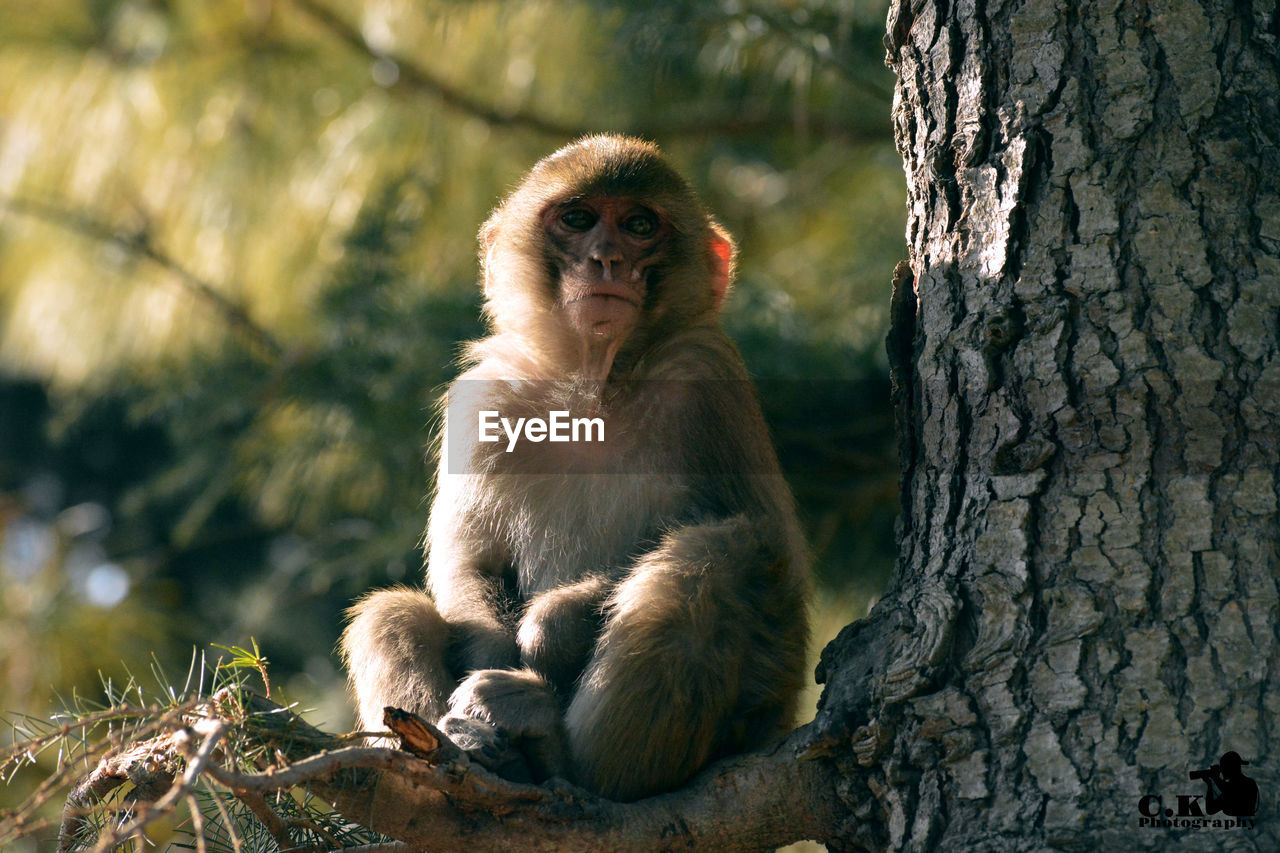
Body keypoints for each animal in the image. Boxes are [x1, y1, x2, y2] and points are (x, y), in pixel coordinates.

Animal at [335, 133, 803, 799]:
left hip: (749, 721)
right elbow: (470, 563)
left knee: (717, 554)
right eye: (578, 220)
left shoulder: (707, 378)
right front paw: (489, 650)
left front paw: (550, 628)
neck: (593, 389)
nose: (607, 260)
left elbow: (769, 549)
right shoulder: (483, 399)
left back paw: (570, 758)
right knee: (391, 614)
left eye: (639, 225)